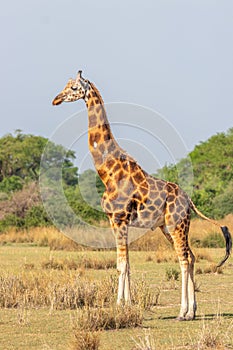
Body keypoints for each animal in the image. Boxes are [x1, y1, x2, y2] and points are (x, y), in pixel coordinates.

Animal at [52, 70, 232, 320]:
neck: (107, 171)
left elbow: (121, 264)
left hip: (177, 224)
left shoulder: (119, 218)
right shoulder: (115, 220)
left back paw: (183, 312)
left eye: (75, 87)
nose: (56, 99)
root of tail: (189, 201)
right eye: (66, 84)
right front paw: (128, 305)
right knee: (192, 256)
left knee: (185, 258)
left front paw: (119, 306)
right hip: (168, 226)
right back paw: (193, 312)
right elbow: (126, 263)